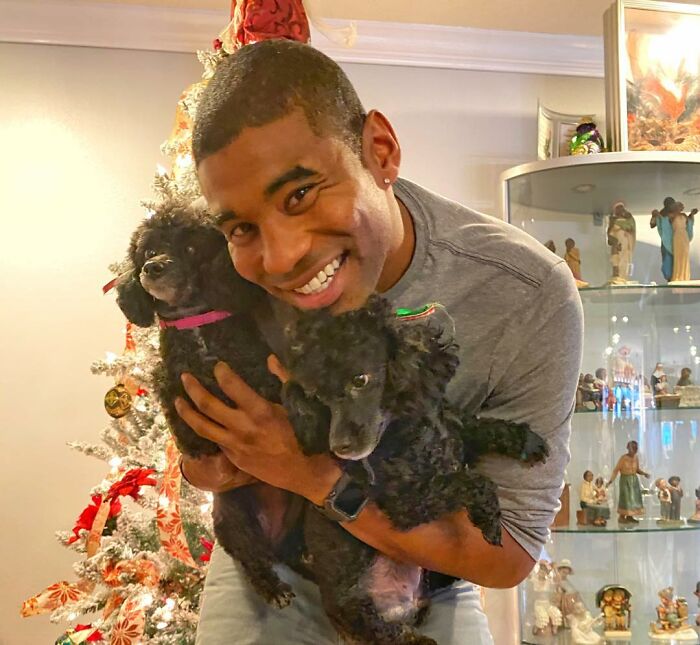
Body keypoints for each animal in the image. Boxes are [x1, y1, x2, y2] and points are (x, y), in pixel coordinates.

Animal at [282, 296, 548, 640]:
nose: (339, 447)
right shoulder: (407, 503)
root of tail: (401, 609)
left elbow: (486, 427)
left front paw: (529, 442)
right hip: (353, 607)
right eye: (315, 395)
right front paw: (489, 519)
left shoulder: (457, 431)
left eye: (359, 379)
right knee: (385, 632)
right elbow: (472, 481)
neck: (405, 430)